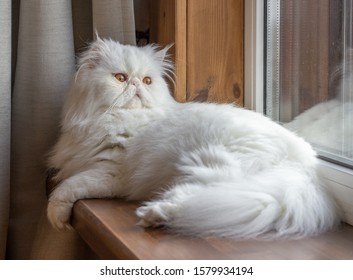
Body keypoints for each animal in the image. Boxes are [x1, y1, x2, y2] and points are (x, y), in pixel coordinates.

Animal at [46, 37, 340, 238]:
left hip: (215, 167)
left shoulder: (111, 171)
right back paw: (155, 216)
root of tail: (307, 163)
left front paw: (57, 218)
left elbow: (68, 188)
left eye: (147, 81)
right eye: (120, 77)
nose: (136, 84)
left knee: (202, 199)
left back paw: (153, 214)